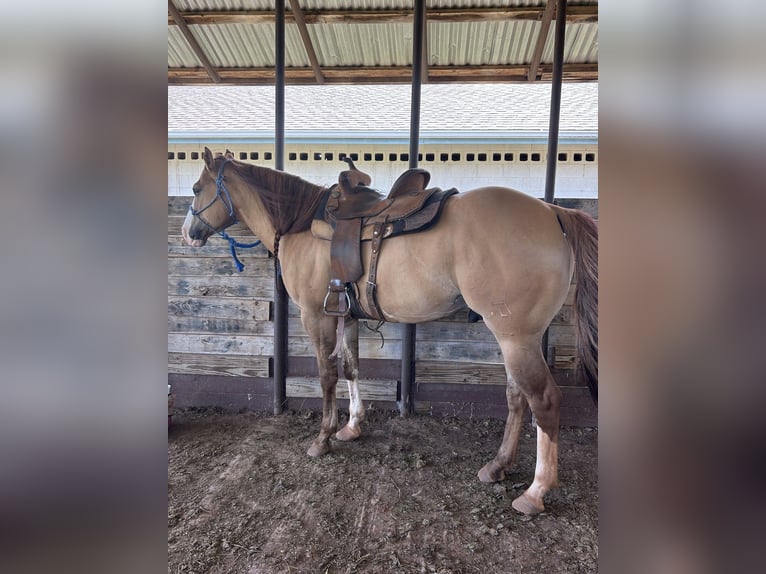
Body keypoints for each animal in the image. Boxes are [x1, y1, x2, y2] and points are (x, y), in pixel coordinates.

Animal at [181, 147, 598, 515]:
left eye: (196, 188)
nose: (188, 233)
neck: (300, 223)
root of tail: (551, 210)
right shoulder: (345, 315)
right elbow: (351, 368)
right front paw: (351, 427)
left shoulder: (315, 316)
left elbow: (326, 375)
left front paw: (323, 437)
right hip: (516, 338)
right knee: (516, 397)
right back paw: (498, 466)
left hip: (516, 337)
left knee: (543, 400)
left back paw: (536, 491)